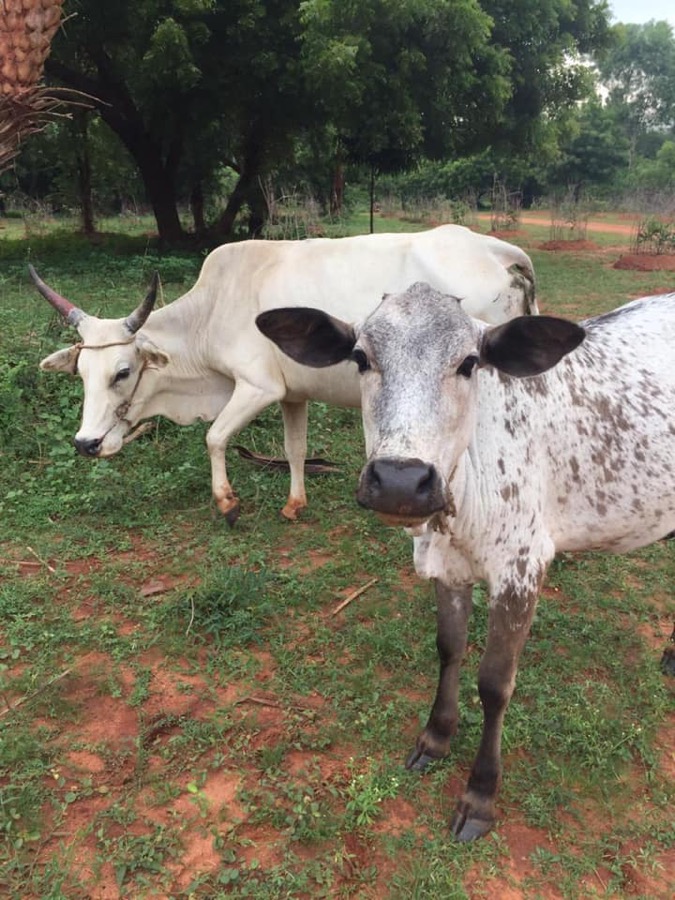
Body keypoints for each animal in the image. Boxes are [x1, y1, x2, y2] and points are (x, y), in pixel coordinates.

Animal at [31, 225, 536, 524]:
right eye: (80, 373)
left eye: (122, 371)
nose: (86, 443)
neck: (211, 310)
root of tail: (490, 247)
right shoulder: (294, 393)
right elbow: (295, 450)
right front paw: (294, 504)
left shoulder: (258, 387)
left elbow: (214, 437)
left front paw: (227, 502)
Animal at [256, 281, 675, 840]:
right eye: (361, 357)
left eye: (470, 362)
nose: (400, 480)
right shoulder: (449, 568)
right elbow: (449, 648)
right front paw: (435, 737)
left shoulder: (522, 568)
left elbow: (495, 684)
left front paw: (480, 795)